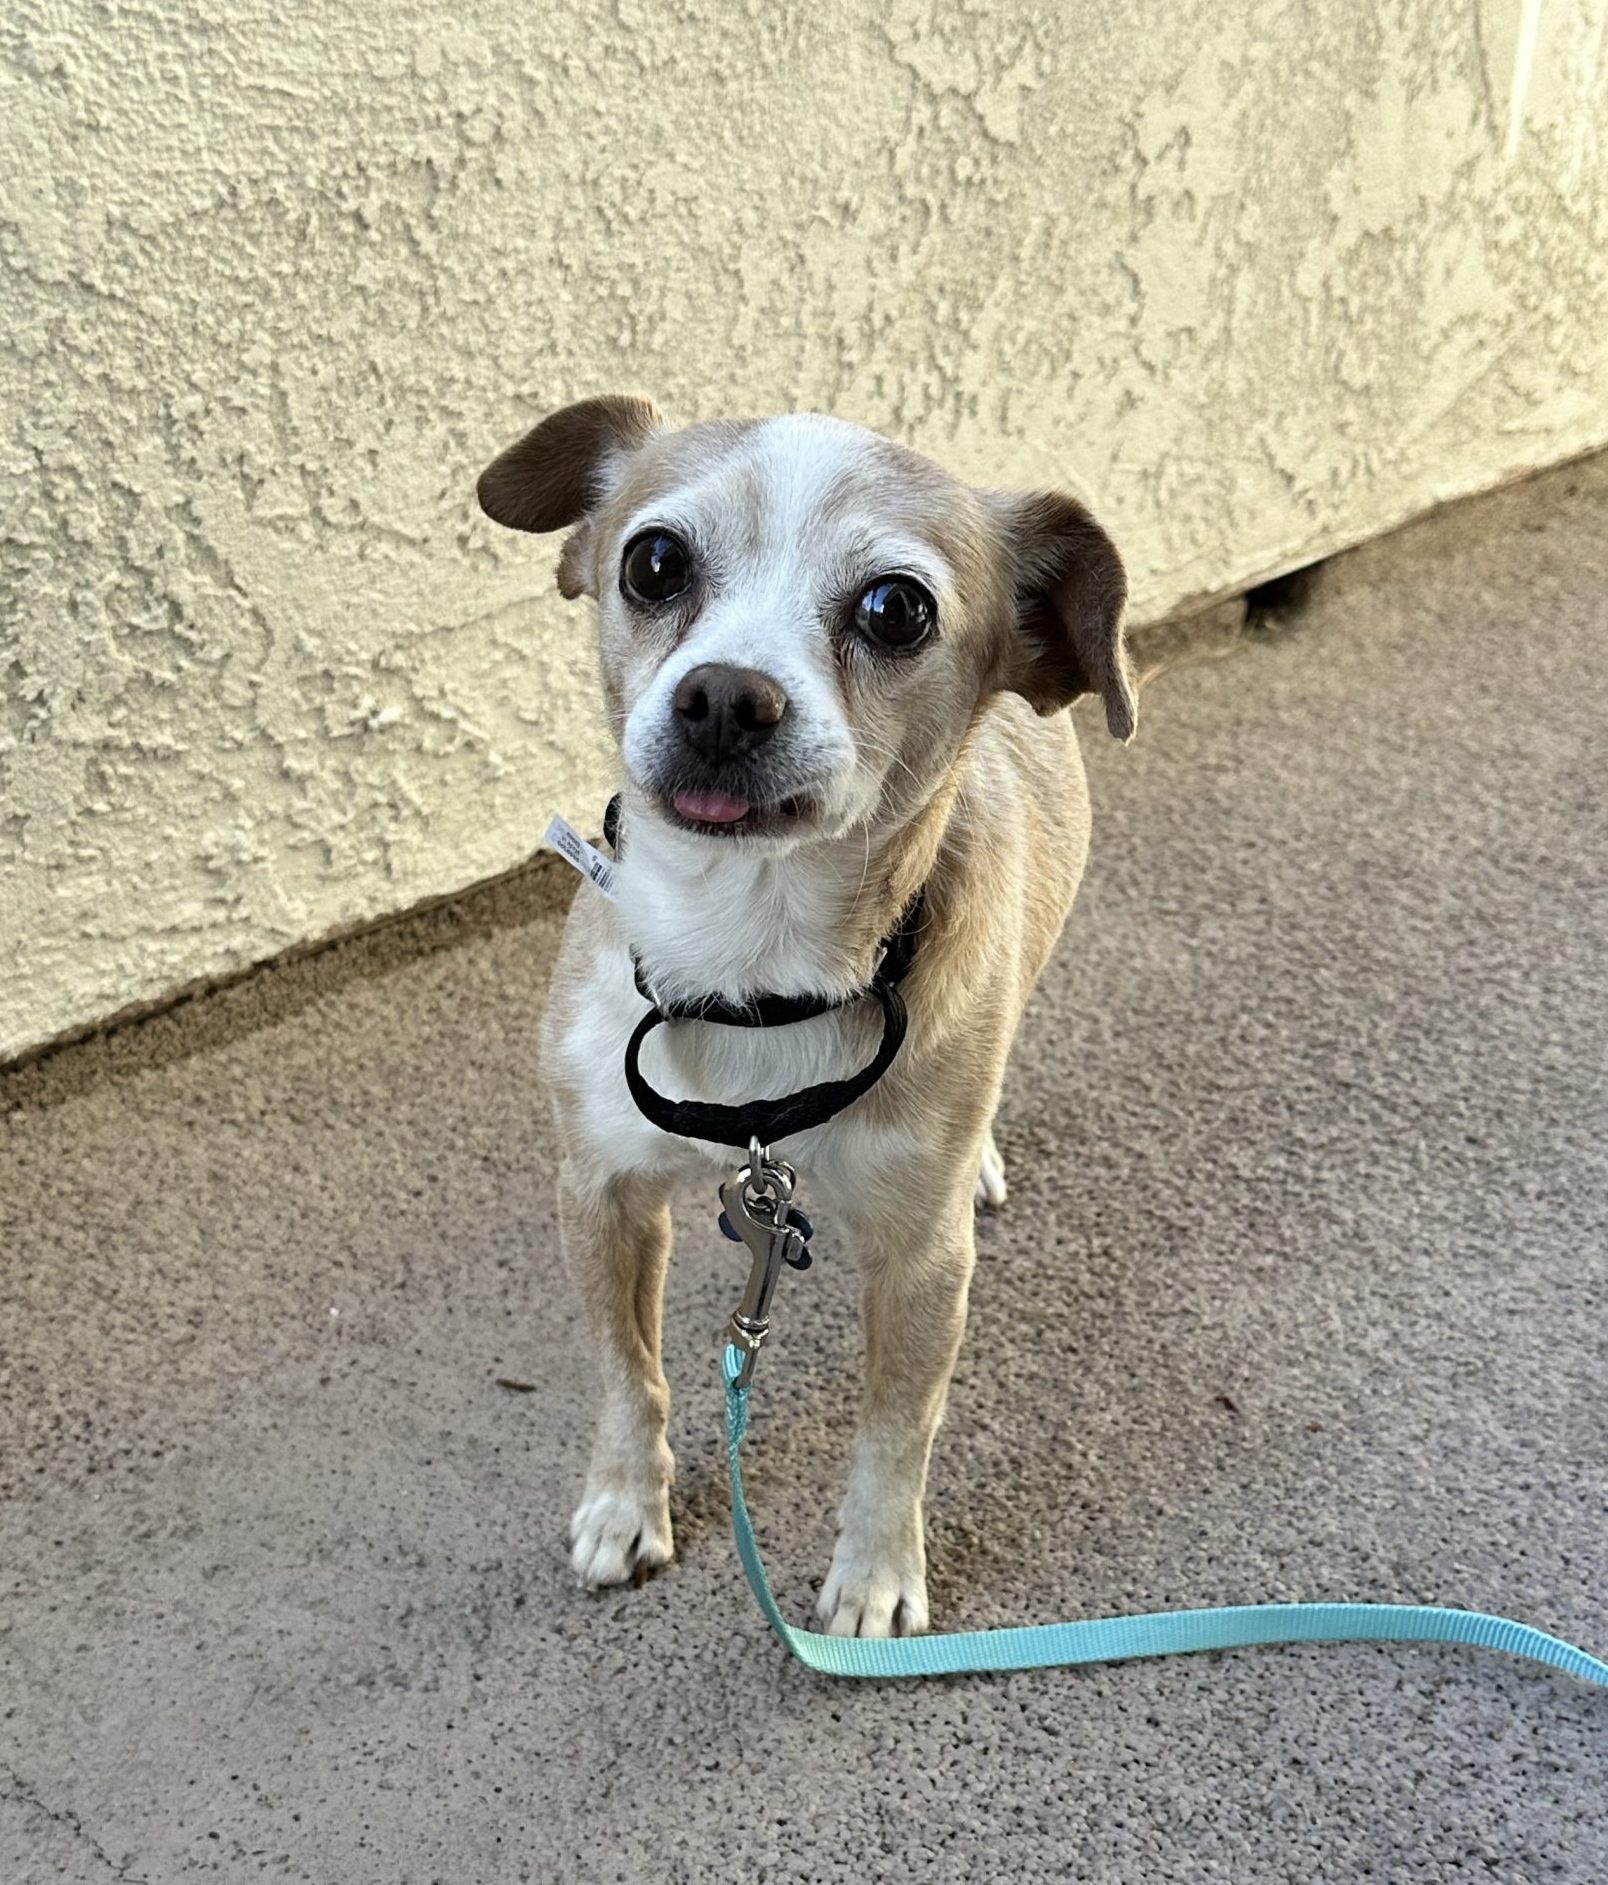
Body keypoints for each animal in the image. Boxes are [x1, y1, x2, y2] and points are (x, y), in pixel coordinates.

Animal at [473, 393, 1131, 1636]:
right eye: (653, 562)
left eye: (896, 608)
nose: (727, 694)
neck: (749, 965)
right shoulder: (603, 1194)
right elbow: (629, 1373)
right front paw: (625, 1502)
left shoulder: (923, 1265)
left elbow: (897, 1429)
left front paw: (875, 1573)